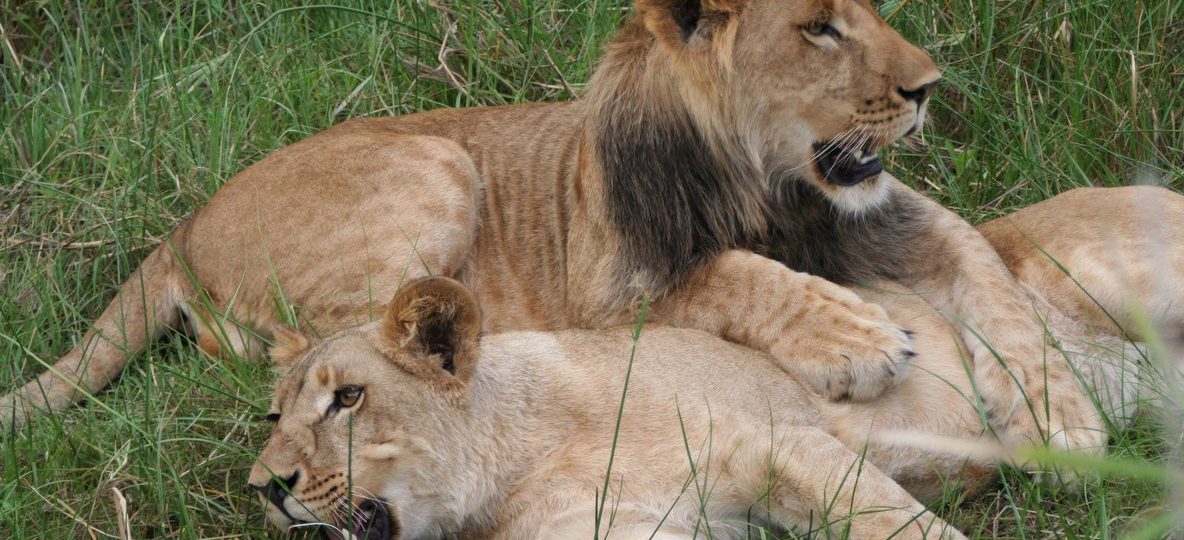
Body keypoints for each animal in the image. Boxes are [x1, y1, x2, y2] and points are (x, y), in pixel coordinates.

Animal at [2, 0, 1099, 450]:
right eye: (819, 29)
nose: (927, 88)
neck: (774, 186)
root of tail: (183, 226)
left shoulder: (895, 218)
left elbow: (994, 285)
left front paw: (1066, 422)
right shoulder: (608, 285)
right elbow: (732, 273)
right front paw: (857, 336)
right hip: (434, 165)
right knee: (315, 349)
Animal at [247, 187, 1183, 539]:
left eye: (348, 399)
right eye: (274, 417)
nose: (266, 485)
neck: (510, 465)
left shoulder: (773, 440)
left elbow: (905, 526)